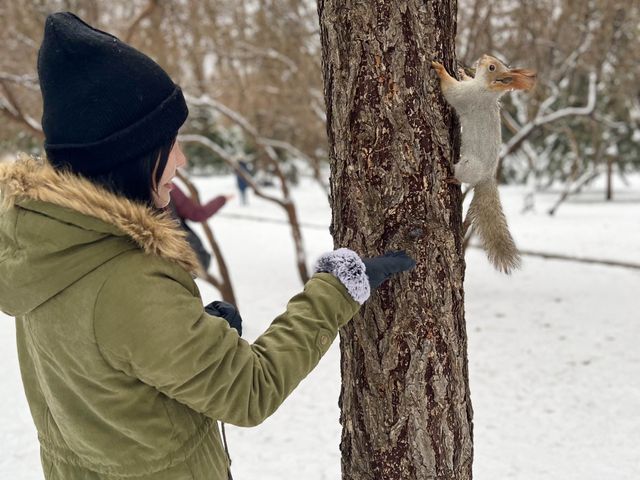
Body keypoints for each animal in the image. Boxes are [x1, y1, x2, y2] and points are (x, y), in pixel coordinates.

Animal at [430, 55, 536, 274]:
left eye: (492, 67)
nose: (483, 57)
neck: (486, 89)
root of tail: (487, 177)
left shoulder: (469, 96)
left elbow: (452, 92)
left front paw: (441, 70)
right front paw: (462, 72)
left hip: (468, 165)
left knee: (461, 177)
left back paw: (451, 176)